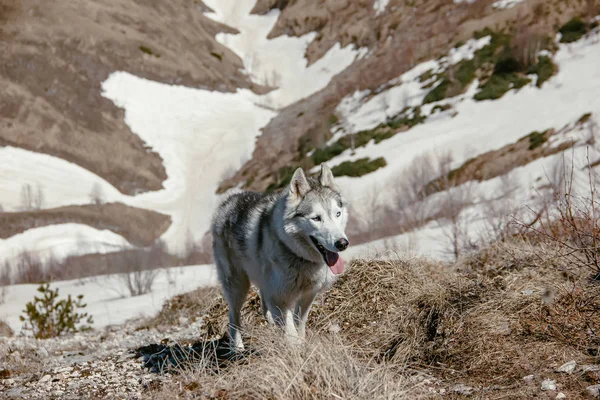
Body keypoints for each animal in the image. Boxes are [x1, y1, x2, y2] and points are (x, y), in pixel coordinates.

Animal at [213, 162, 350, 350]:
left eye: (337, 214)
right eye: (316, 218)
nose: (342, 243)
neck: (298, 257)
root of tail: (228, 200)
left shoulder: (308, 295)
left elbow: (299, 323)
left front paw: (302, 345)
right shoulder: (280, 300)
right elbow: (291, 333)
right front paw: (296, 351)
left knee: (263, 303)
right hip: (237, 286)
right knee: (233, 315)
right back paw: (237, 347)